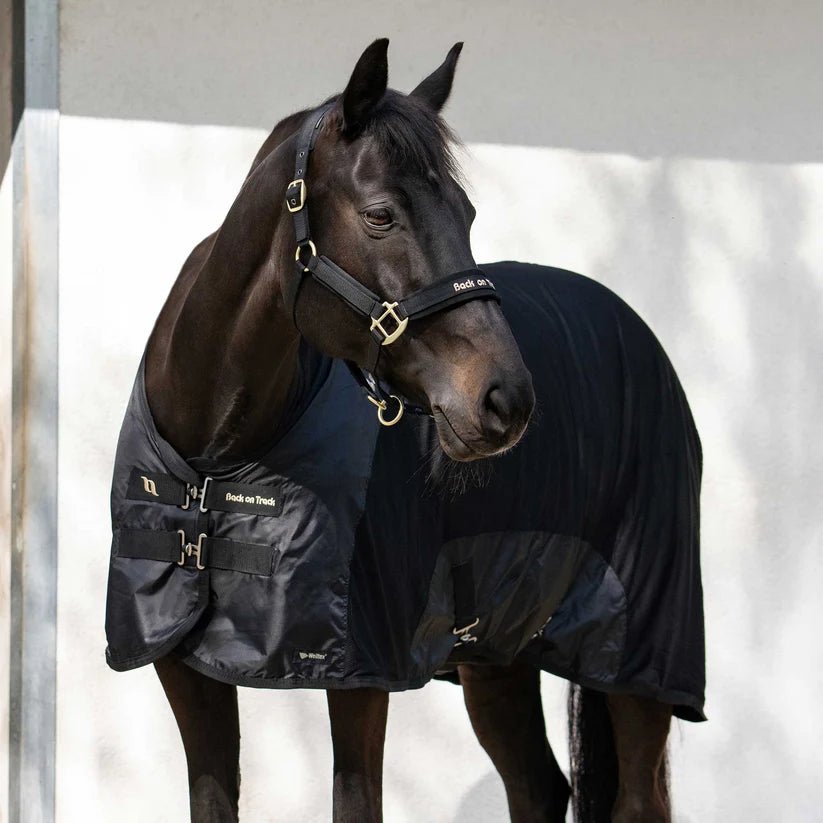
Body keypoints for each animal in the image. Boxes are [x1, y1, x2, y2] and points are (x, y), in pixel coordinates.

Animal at [105, 39, 704, 822]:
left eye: (467, 213)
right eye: (381, 215)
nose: (506, 399)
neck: (219, 455)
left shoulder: (360, 676)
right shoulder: (183, 669)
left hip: (638, 663)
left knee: (633, 796)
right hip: (496, 658)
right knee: (537, 786)